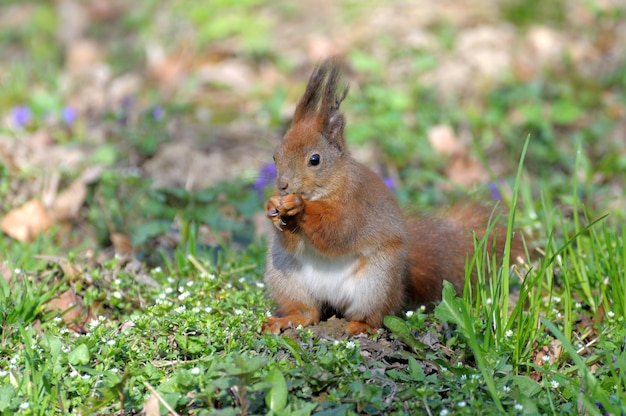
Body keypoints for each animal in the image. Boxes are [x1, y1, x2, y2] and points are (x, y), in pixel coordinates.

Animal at [260, 60, 516, 334]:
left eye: (315, 160)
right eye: (275, 155)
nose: (283, 186)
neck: (327, 189)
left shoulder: (355, 204)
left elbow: (337, 230)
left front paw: (298, 206)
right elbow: (293, 241)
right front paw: (272, 206)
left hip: (377, 281)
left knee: (375, 315)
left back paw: (360, 326)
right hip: (285, 275)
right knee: (308, 312)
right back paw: (287, 319)